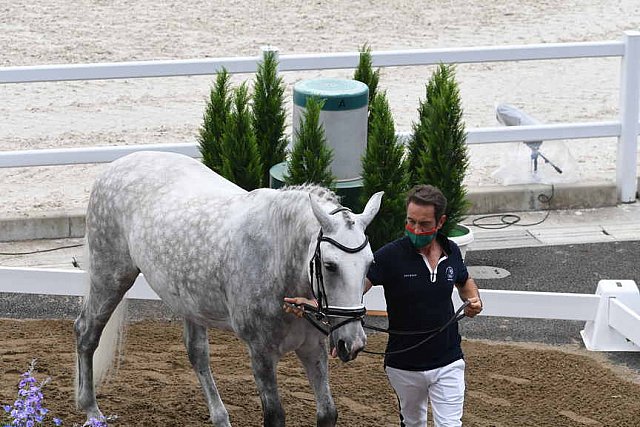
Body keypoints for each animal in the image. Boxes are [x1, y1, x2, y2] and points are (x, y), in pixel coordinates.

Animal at [72, 153, 382, 427]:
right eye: (330, 265)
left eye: (370, 263)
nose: (353, 343)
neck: (277, 256)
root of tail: (115, 166)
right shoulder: (261, 352)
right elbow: (275, 416)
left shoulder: (312, 347)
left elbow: (327, 413)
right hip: (110, 277)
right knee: (86, 332)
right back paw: (91, 410)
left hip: (188, 303)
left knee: (197, 354)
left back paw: (220, 417)